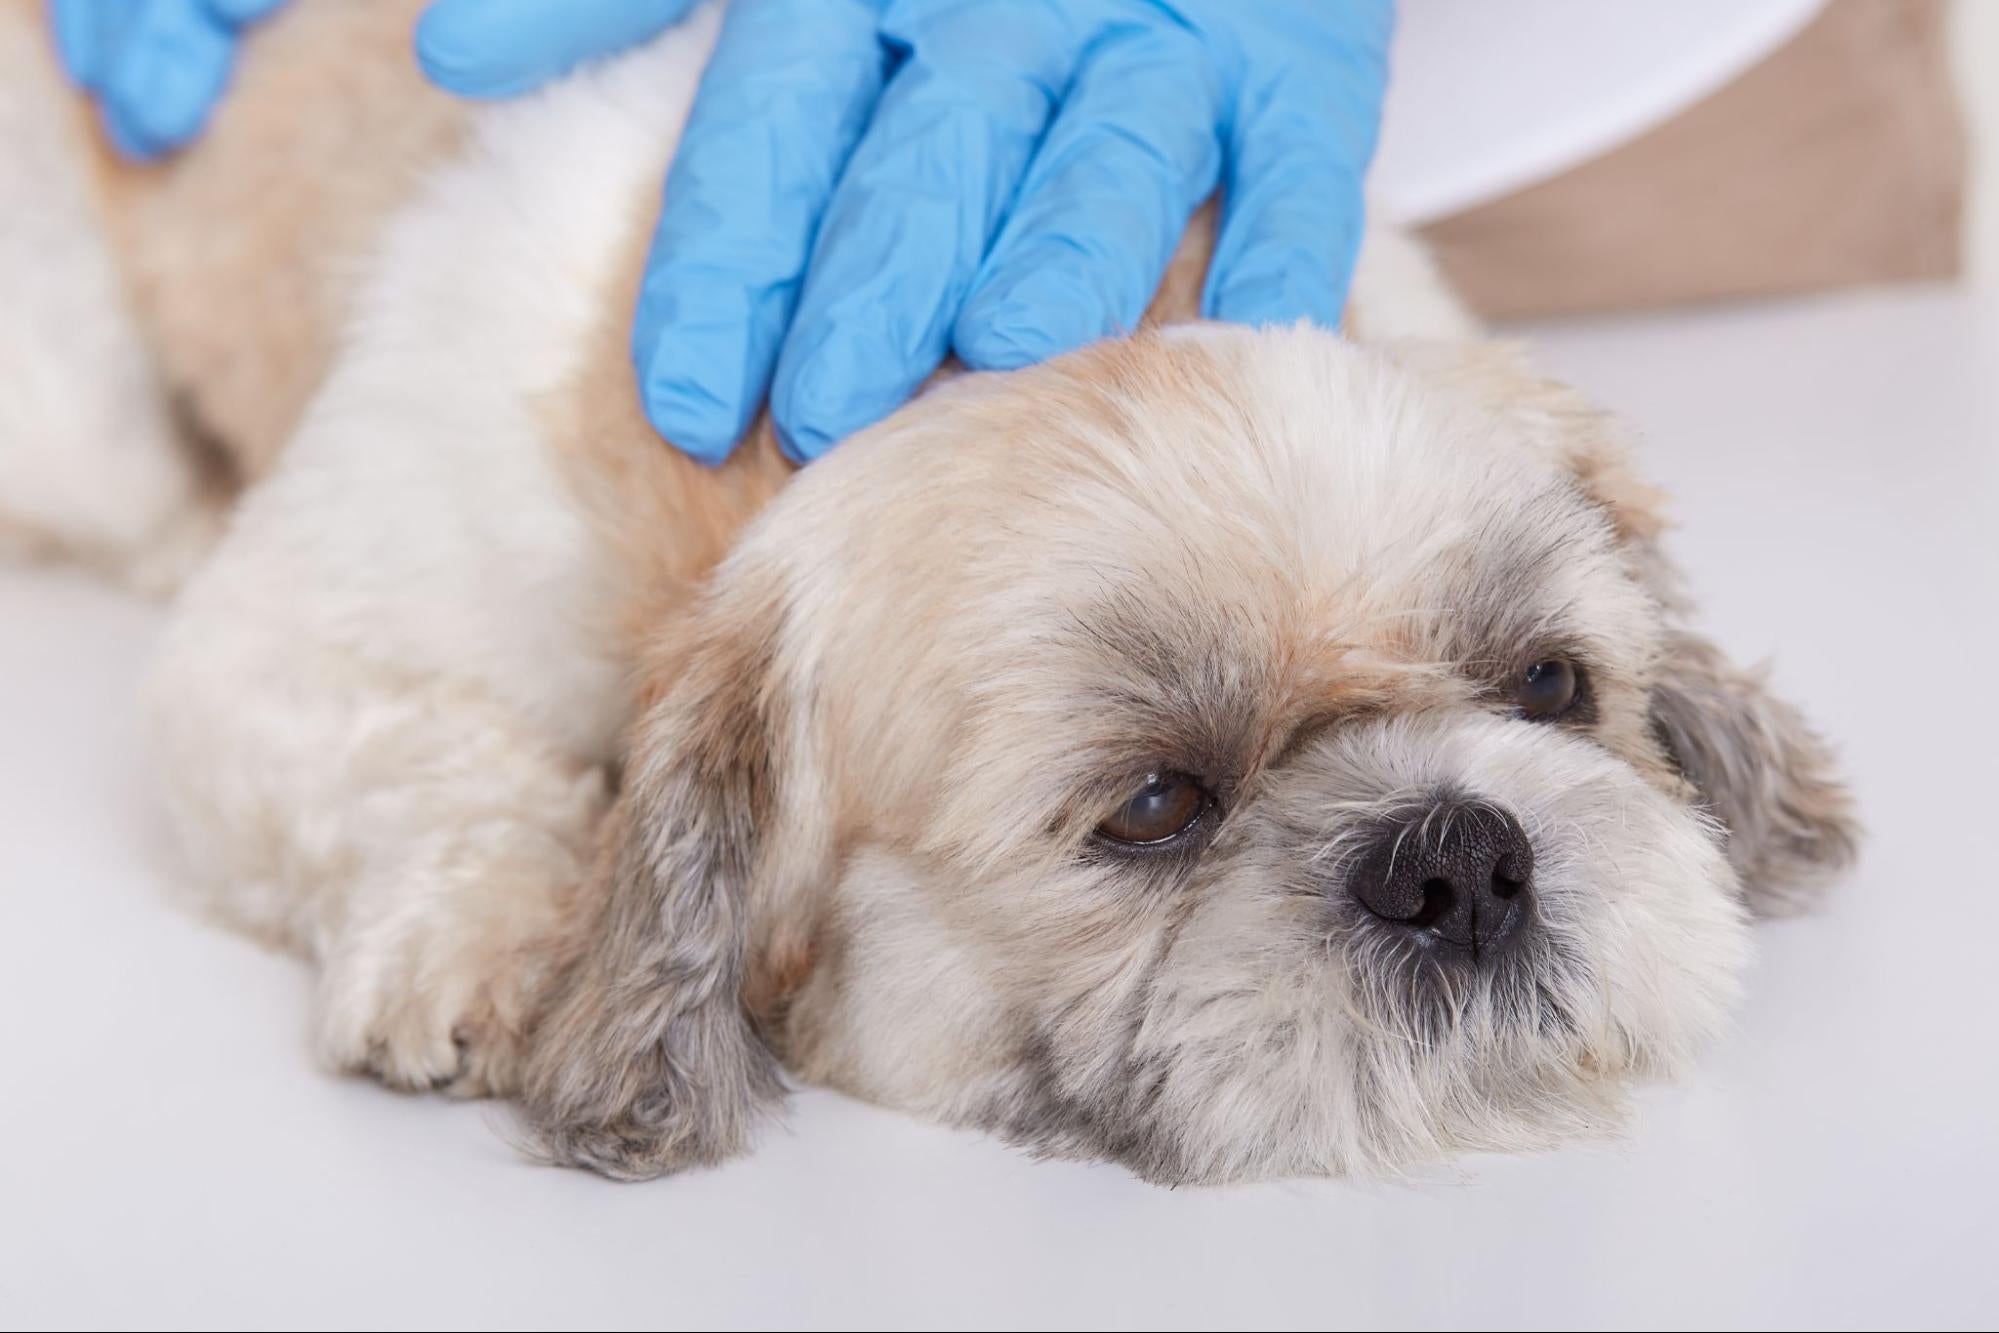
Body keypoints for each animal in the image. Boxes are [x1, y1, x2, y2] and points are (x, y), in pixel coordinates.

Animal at [0, 0, 1855, 1191]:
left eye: (1549, 685)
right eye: (1149, 806)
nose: (1455, 854)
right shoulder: (285, 647)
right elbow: (419, 765)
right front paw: (484, 930)